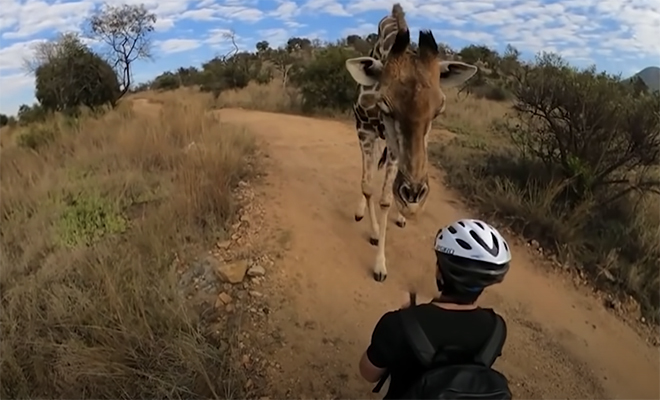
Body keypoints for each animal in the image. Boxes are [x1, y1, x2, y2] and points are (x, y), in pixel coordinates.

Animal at [346, 4, 480, 282]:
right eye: (385, 105)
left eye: (439, 110)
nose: (415, 193)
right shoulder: (364, 131)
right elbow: (368, 185)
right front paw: (374, 232)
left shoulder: (395, 148)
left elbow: (386, 198)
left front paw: (380, 264)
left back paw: (402, 213)